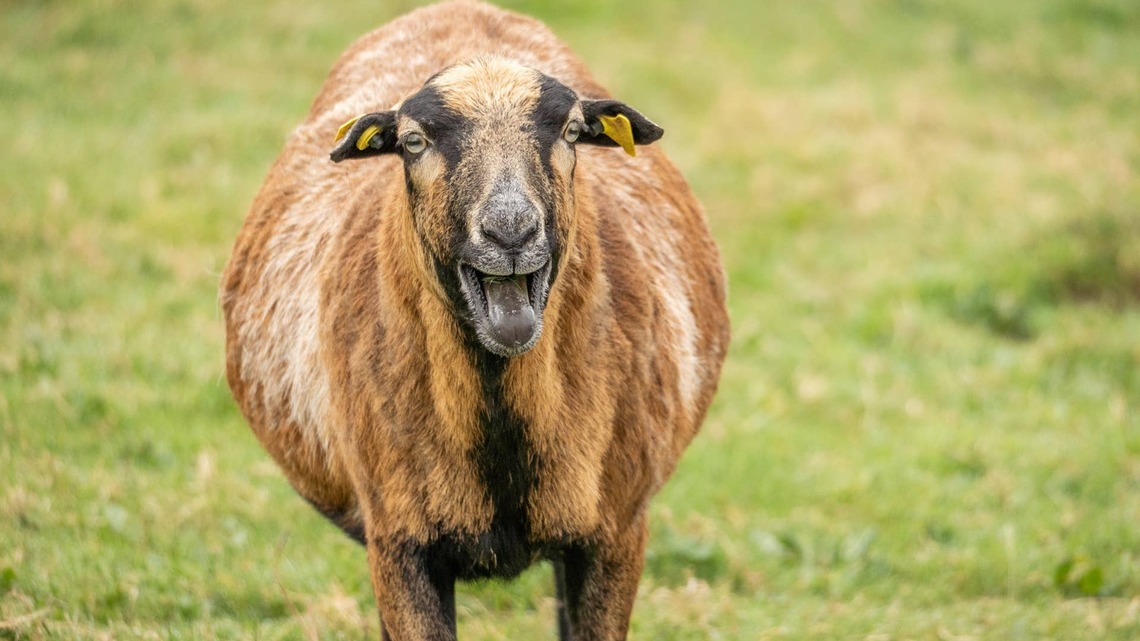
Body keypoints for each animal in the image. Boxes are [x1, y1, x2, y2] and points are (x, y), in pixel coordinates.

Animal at [221, 1, 729, 639]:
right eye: (413, 142)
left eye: (571, 132)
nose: (510, 231)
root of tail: (459, 8)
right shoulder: (400, 544)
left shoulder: (615, 531)